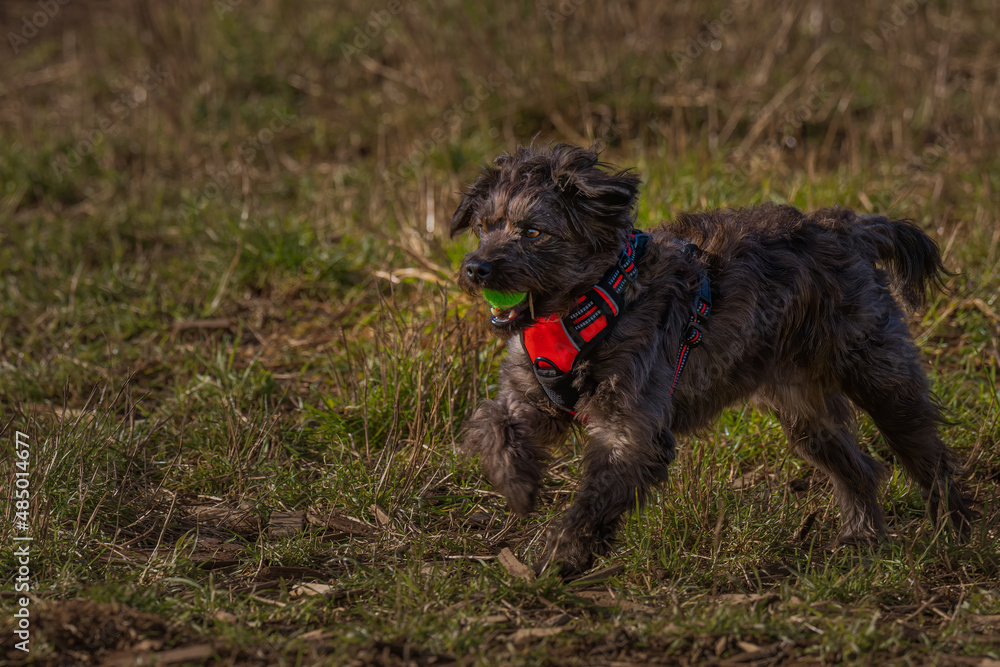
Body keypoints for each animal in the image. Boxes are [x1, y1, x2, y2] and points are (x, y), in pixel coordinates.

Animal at [450, 144, 972, 576]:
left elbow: (593, 503)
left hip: (882, 380)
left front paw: (561, 556)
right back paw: (863, 539)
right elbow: (492, 423)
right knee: (859, 468)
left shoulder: (631, 430)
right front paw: (518, 484)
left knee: (930, 458)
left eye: (532, 231)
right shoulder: (530, 395)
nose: (476, 268)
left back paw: (955, 532)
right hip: (804, 415)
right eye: (484, 227)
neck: (589, 305)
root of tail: (849, 228)